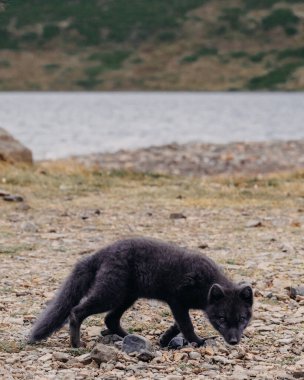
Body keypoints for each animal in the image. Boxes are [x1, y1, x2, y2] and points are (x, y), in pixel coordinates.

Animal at [28, 238, 253, 348]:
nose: (234, 342)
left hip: (127, 297)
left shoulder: (181, 306)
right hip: (111, 294)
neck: (205, 285)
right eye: (221, 319)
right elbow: (186, 325)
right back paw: (76, 344)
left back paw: (130, 337)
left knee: (110, 320)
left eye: (242, 319)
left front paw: (164, 339)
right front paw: (197, 342)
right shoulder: (177, 301)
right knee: (76, 311)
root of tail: (102, 252)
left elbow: (177, 325)